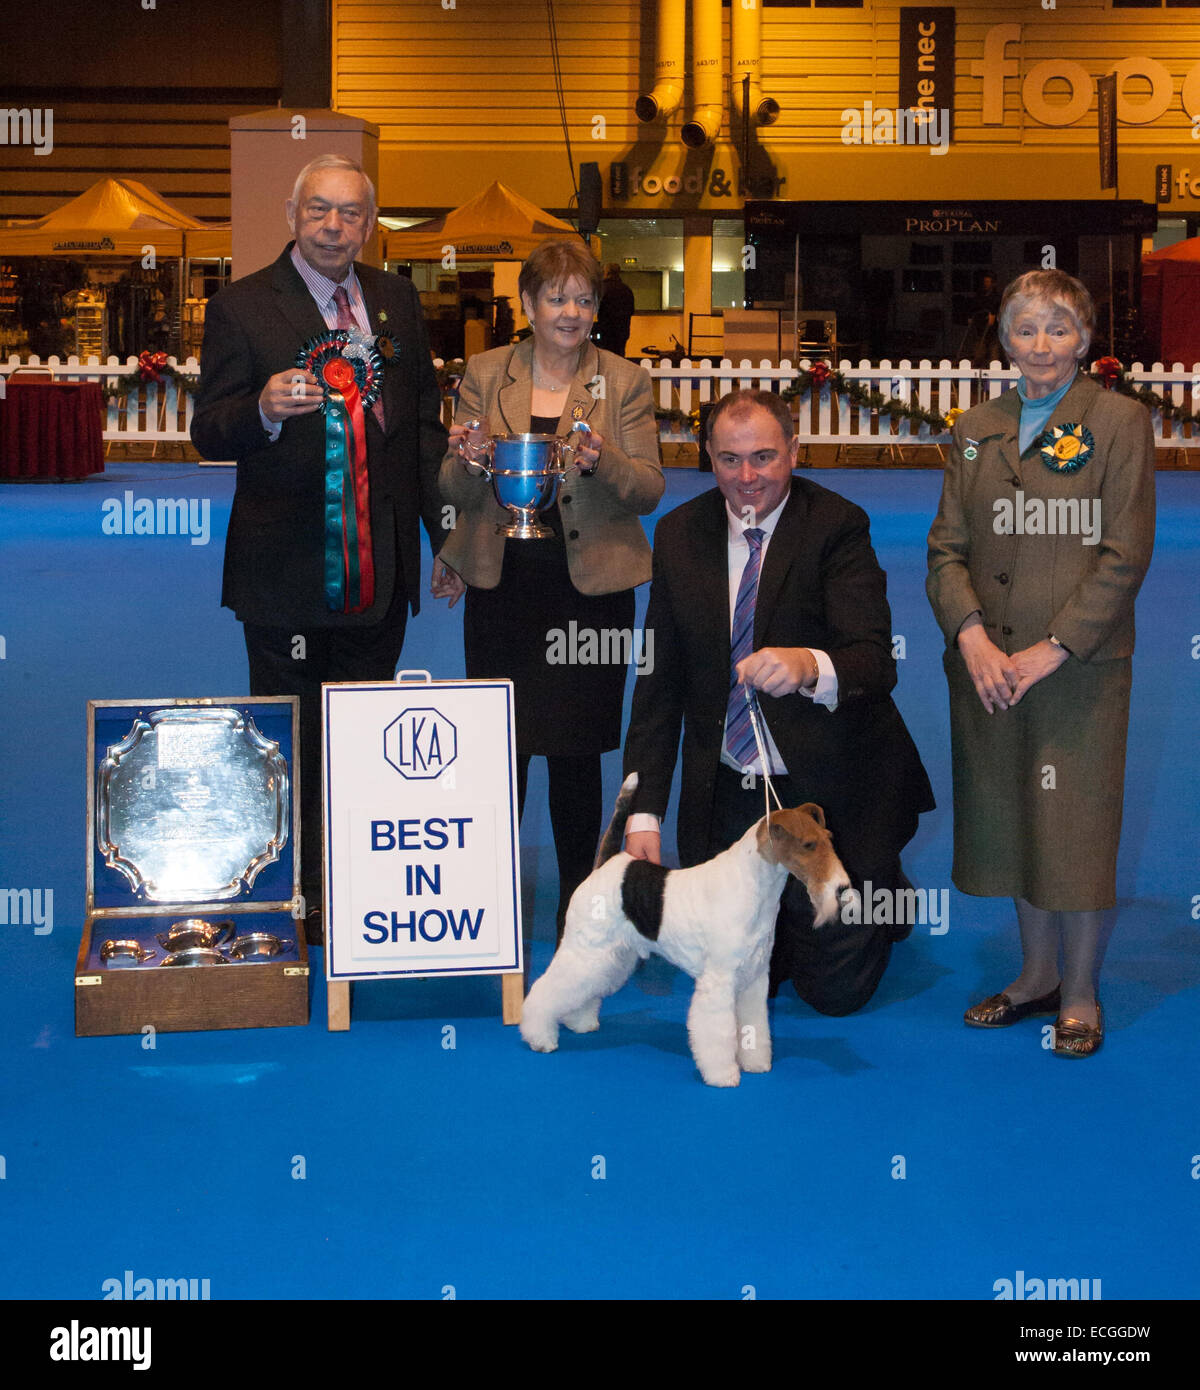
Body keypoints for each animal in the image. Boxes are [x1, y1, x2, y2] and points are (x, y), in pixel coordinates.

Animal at [520, 772, 850, 1084]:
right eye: (808, 844)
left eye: (829, 837)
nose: (843, 889)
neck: (755, 887)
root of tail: (609, 863)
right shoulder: (719, 981)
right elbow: (718, 1034)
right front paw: (723, 1075)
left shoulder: (754, 978)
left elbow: (754, 1025)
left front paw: (756, 1063)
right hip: (586, 949)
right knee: (547, 990)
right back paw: (540, 1036)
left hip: (611, 956)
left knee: (584, 989)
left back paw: (580, 1021)